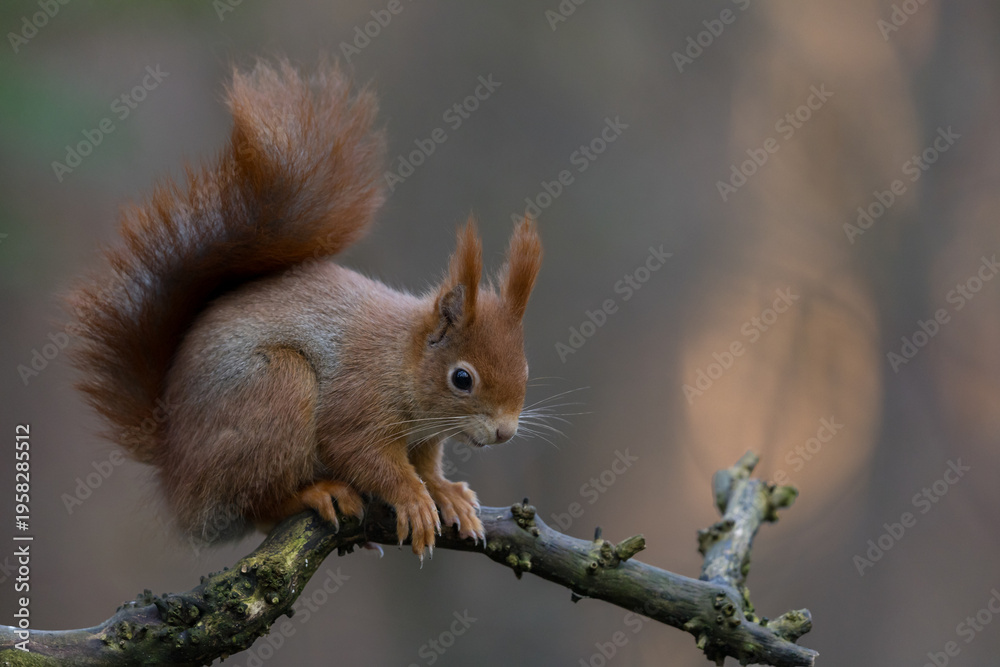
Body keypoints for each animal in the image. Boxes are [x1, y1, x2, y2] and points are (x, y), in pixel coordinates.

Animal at [66, 58, 542, 559]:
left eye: (526, 370)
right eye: (462, 379)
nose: (505, 432)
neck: (402, 358)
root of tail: (174, 472)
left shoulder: (426, 435)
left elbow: (427, 463)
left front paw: (445, 491)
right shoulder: (357, 403)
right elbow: (365, 456)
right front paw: (412, 497)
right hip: (275, 389)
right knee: (258, 503)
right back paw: (317, 493)